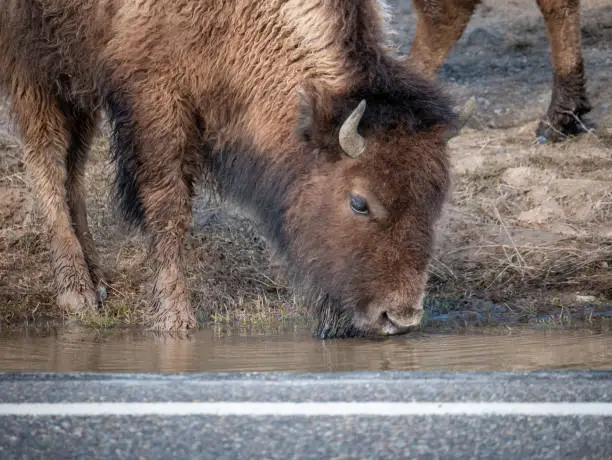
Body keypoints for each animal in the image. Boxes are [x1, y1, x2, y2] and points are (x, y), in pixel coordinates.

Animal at [0, 0, 466, 338]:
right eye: (359, 202)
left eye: (437, 200)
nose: (398, 317)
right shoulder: (155, 99)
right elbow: (167, 208)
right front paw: (175, 321)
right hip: (34, 63)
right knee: (47, 156)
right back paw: (76, 292)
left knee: (72, 166)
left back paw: (97, 280)